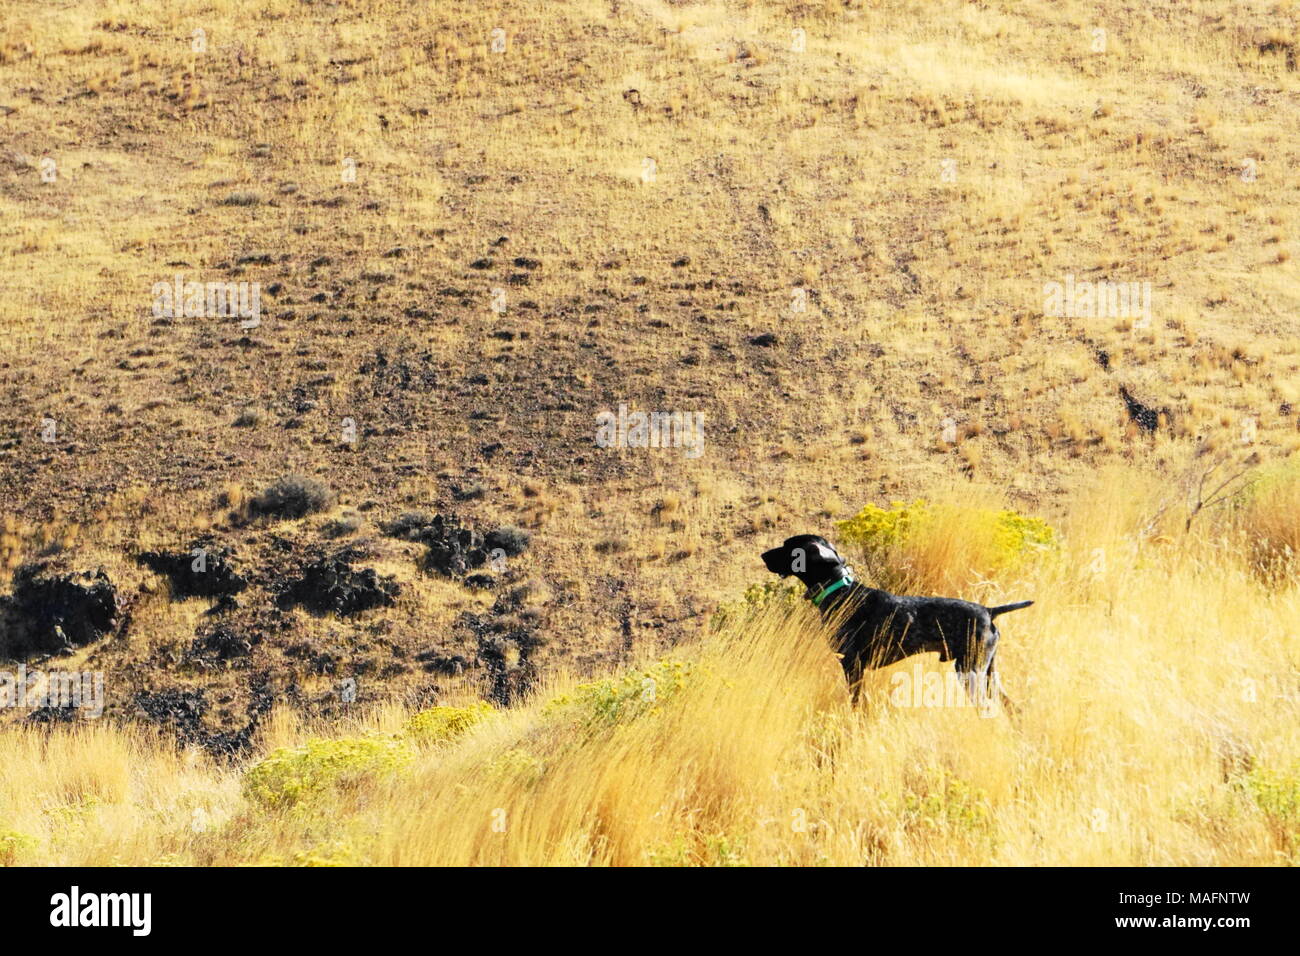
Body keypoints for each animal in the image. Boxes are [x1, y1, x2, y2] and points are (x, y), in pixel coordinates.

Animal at [759, 538, 1029, 712]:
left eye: (787, 546)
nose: (762, 555)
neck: (840, 589)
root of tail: (989, 611)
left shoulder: (852, 665)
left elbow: (856, 703)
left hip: (970, 672)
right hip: (988, 673)